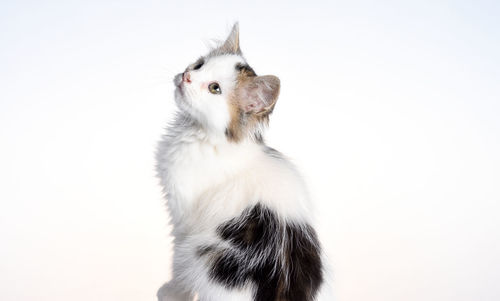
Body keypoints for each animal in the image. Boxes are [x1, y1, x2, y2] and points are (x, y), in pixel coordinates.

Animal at [154, 22, 330, 298]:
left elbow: (177, 266)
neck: (206, 135)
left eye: (214, 88)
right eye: (199, 65)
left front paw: (172, 293)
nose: (187, 76)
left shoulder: (183, 221)